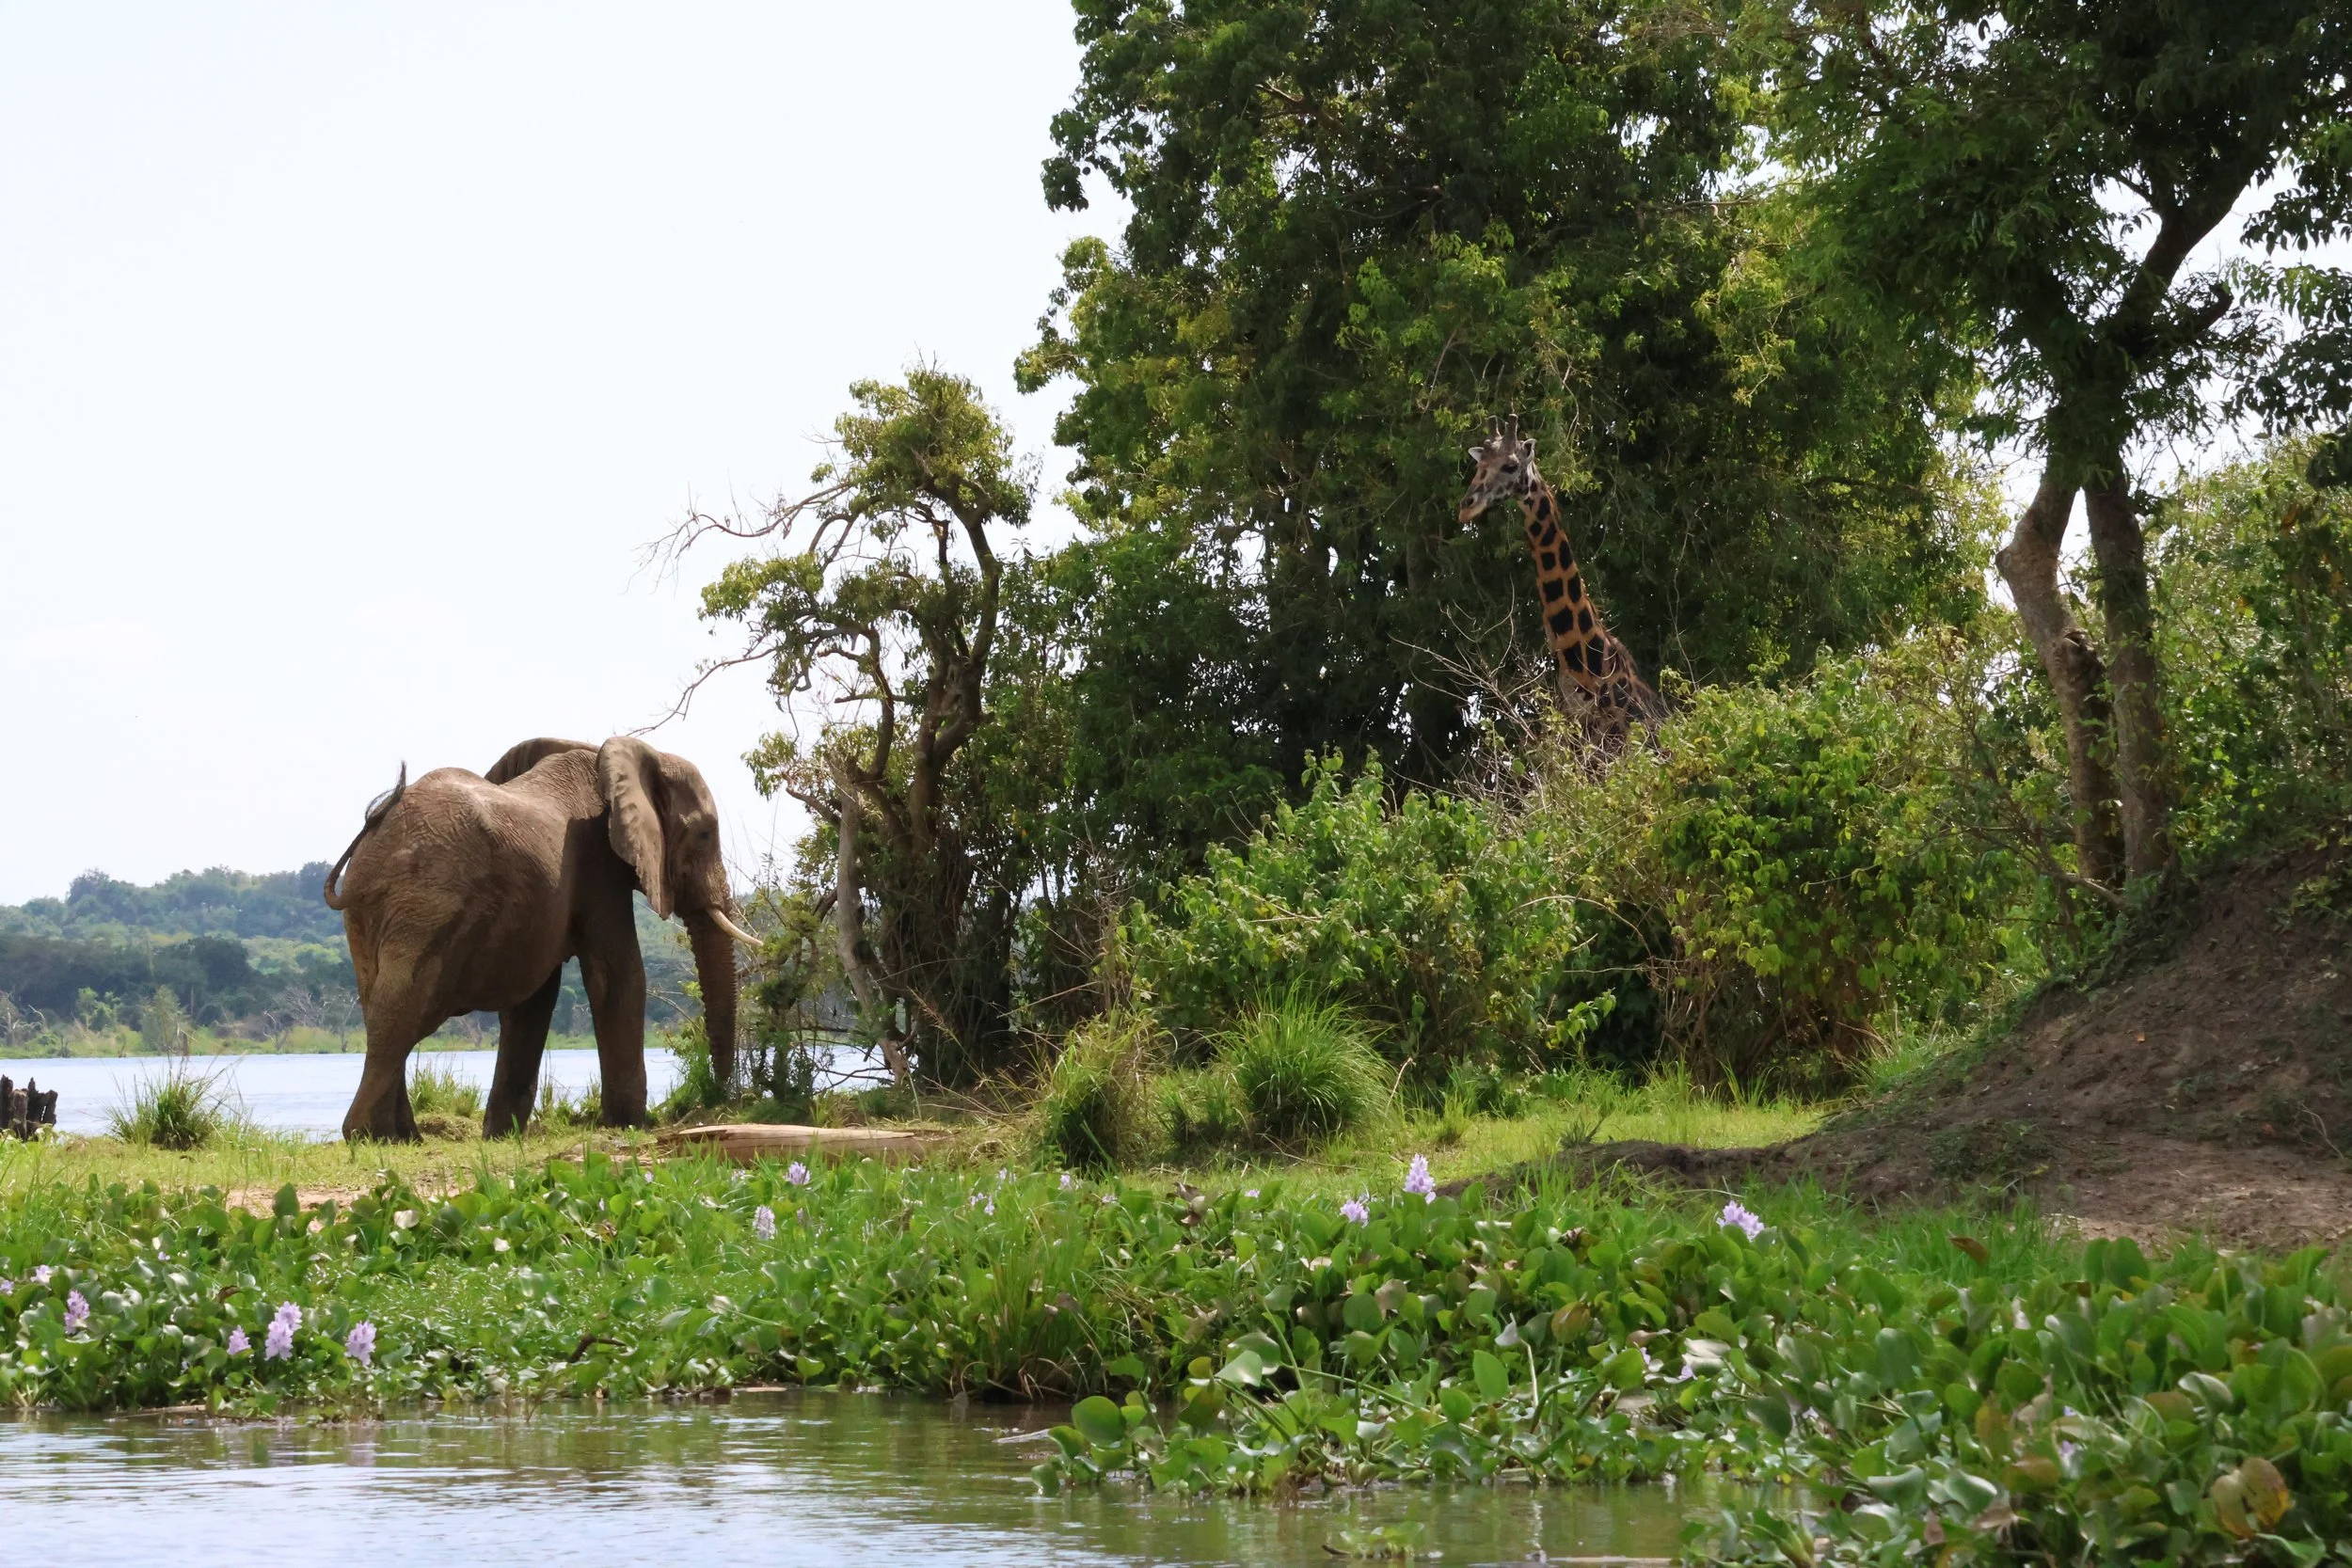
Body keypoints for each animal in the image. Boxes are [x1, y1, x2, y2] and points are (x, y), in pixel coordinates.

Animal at [322, 735, 757, 1140]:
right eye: (704, 834)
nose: (718, 1099)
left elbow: (534, 1000)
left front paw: (501, 1135)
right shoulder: (597, 864)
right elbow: (616, 977)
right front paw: (628, 1124)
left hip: (372, 913)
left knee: (378, 1002)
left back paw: (402, 1137)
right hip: (430, 898)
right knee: (406, 1003)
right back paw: (369, 1134)